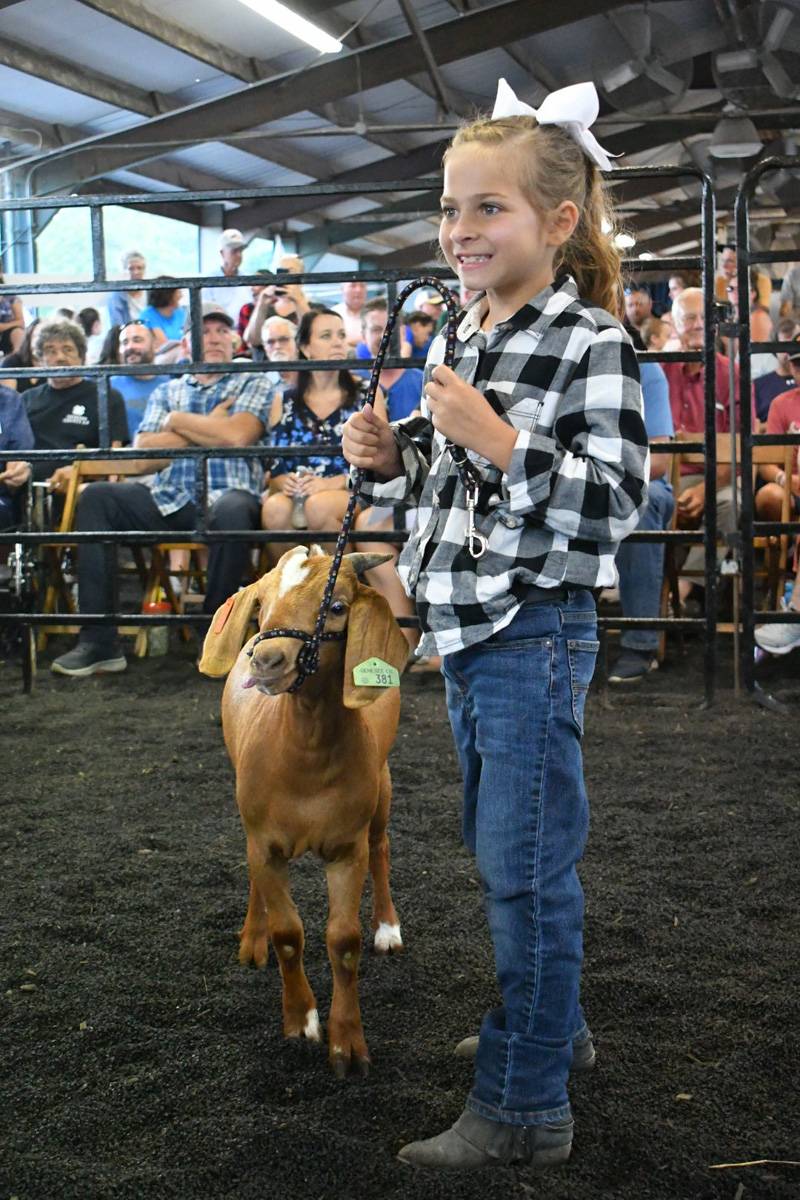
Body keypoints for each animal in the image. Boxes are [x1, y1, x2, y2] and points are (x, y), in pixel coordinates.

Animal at [197, 544, 410, 1080]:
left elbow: (344, 941)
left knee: (382, 847)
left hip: (383, 786)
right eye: (261, 606)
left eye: (335, 607)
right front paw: (300, 1022)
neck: (306, 754)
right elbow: (288, 933)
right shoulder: (266, 843)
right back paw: (251, 942)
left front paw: (347, 1045)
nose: (267, 659)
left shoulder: (346, 849)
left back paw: (388, 929)